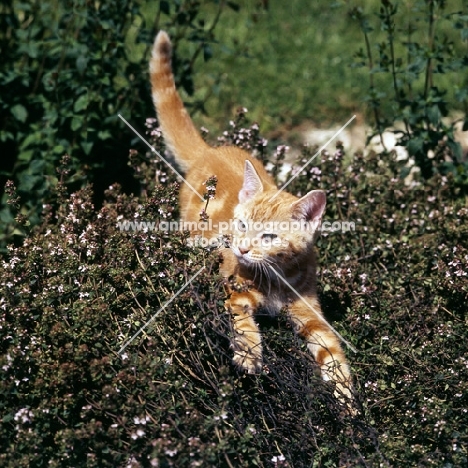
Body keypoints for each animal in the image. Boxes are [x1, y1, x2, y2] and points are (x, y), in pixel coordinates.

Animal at [148, 30, 352, 402]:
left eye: (269, 237)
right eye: (241, 225)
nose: (241, 248)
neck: (277, 276)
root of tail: (209, 150)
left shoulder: (310, 312)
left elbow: (330, 349)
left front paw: (346, 396)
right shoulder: (233, 289)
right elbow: (242, 319)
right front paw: (248, 353)